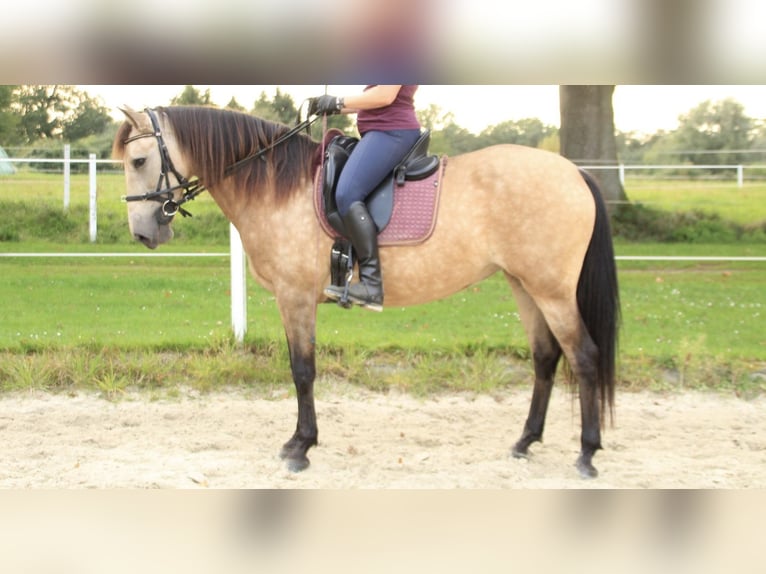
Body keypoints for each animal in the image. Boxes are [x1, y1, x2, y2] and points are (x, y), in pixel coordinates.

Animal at [112, 106, 616, 480]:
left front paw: (300, 447)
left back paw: (587, 453)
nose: (143, 234)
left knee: (584, 357)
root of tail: (575, 173)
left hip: (552, 291)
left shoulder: (295, 298)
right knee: (546, 358)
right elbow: (301, 370)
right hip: (524, 285)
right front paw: (301, 441)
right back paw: (525, 442)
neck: (278, 186)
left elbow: (302, 371)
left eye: (139, 161)